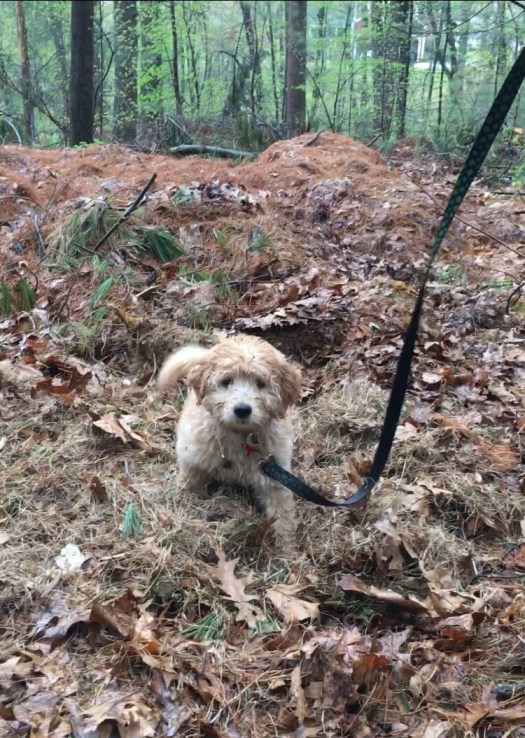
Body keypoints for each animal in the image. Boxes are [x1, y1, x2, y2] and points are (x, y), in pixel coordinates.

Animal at [157, 335, 302, 542]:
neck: (241, 436)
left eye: (260, 383)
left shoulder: (274, 475)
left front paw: (285, 545)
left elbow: (283, 514)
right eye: (227, 381)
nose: (242, 409)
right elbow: (190, 482)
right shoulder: (193, 457)